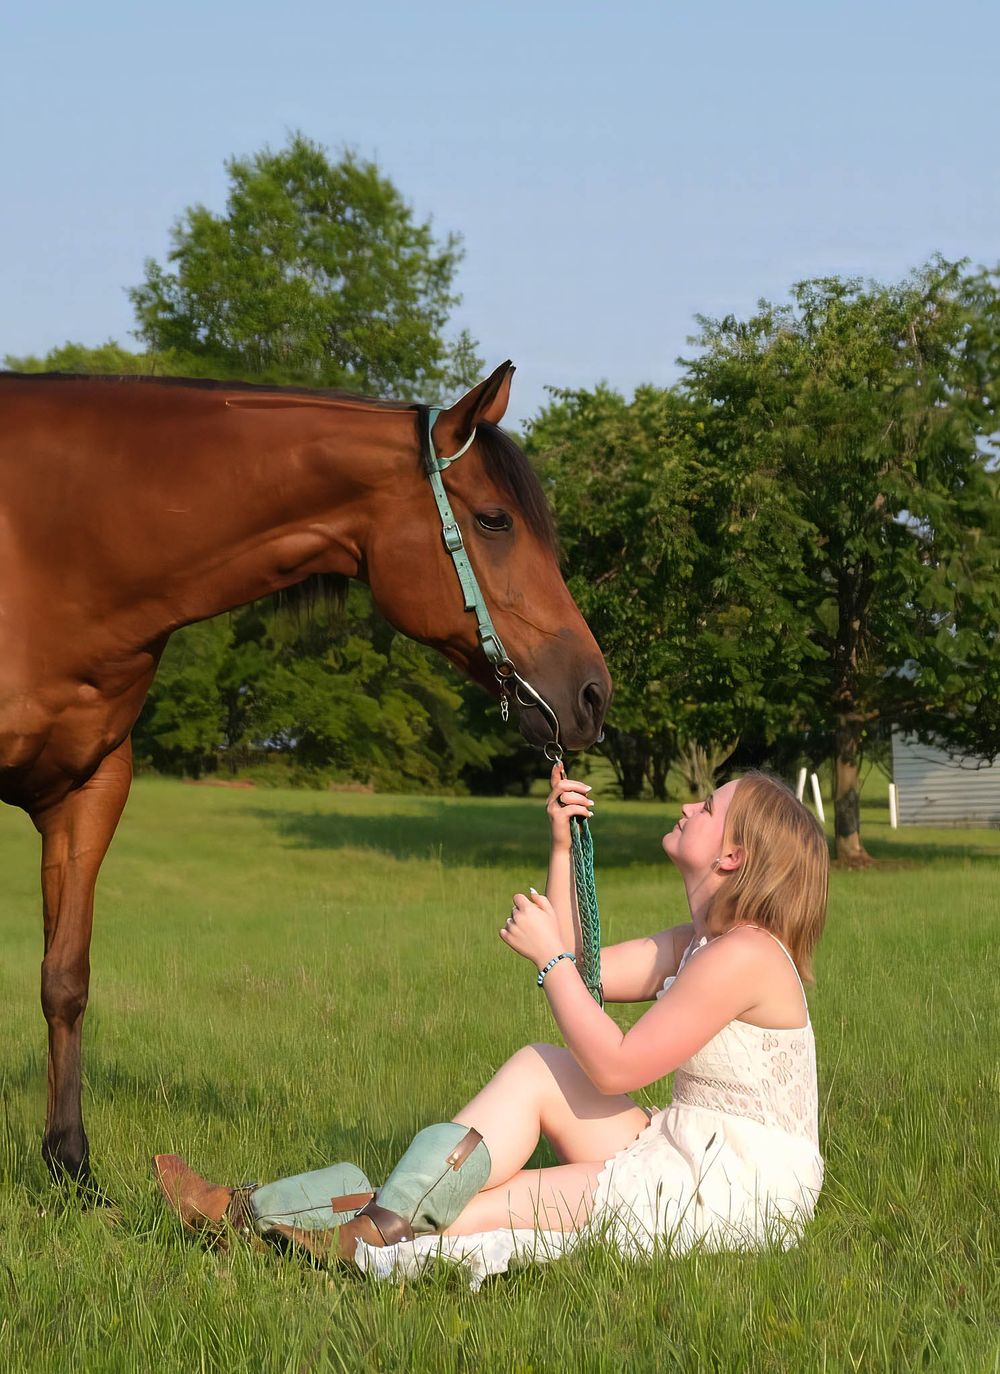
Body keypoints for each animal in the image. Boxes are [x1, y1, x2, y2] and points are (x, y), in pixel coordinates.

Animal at [0, 360, 611, 1185]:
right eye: (493, 521)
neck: (53, 545)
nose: (592, 695)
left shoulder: (88, 788)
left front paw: (69, 1164)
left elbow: (65, 979)